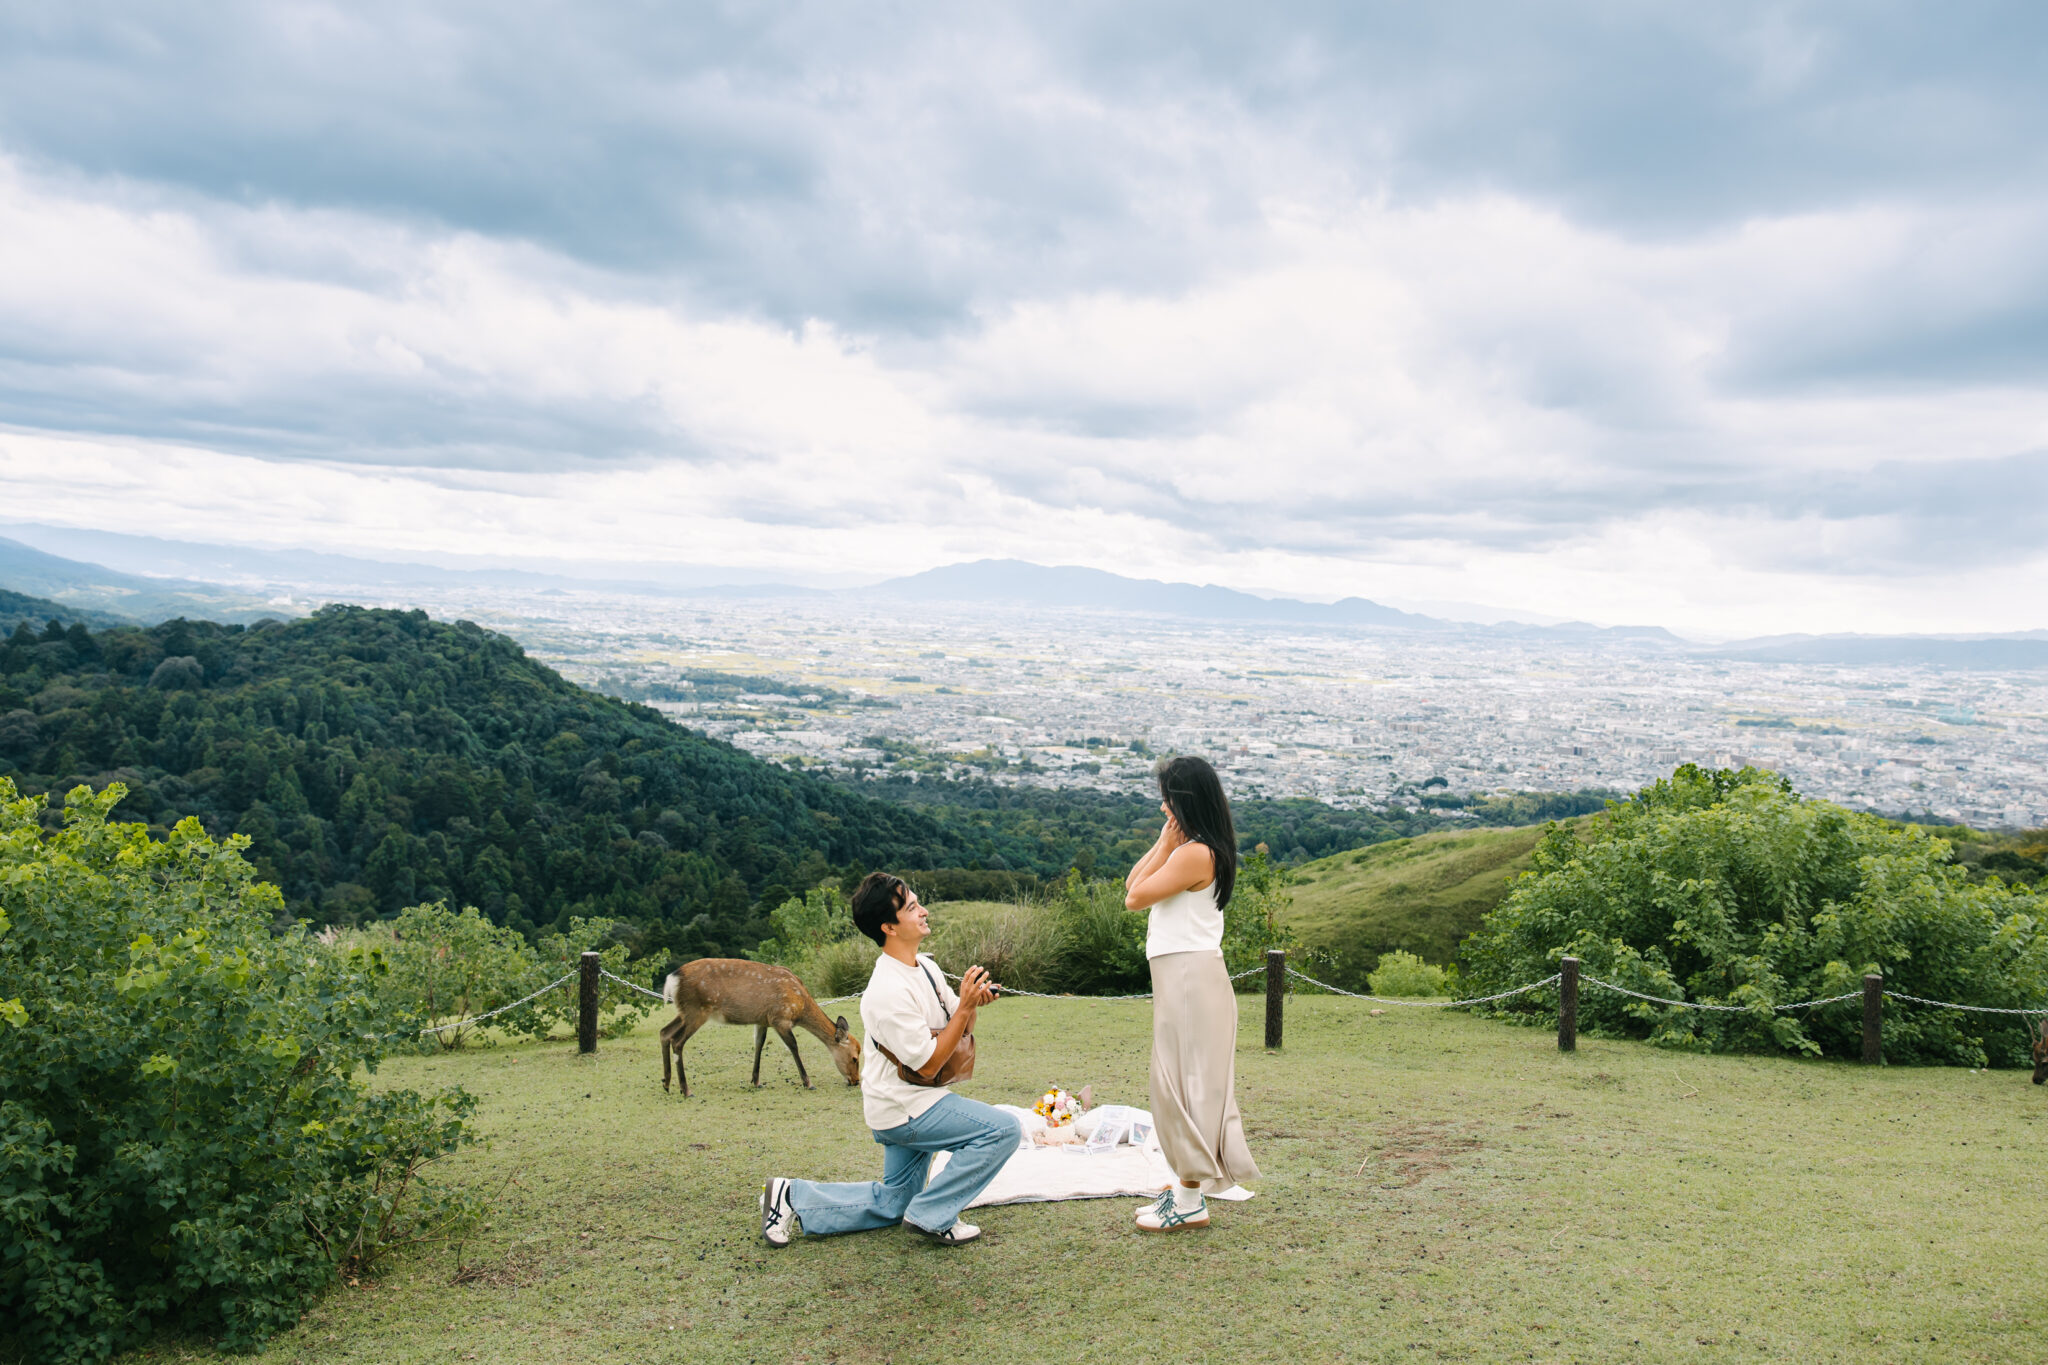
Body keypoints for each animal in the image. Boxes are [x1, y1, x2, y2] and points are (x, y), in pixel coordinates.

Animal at [651, 961, 851, 1096]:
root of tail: (671, 980)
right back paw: (686, 1090)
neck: (800, 1006)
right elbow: (793, 1046)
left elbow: (759, 1045)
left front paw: (756, 1081)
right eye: (855, 1057)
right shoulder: (780, 1018)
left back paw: (666, 1083)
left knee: (664, 1032)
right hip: (697, 1011)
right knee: (677, 1041)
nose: (854, 1081)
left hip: (684, 1012)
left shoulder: (763, 1020)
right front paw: (808, 1083)